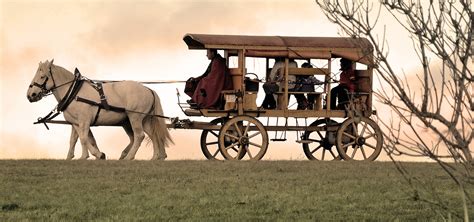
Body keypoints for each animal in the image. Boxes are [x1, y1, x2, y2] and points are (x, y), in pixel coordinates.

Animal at [25, 59, 171, 160]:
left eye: (42, 76)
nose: (30, 95)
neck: (74, 93)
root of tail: (148, 89)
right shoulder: (75, 123)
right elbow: (75, 140)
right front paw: (73, 157)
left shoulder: (84, 121)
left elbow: (84, 138)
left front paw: (91, 155)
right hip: (144, 119)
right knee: (153, 135)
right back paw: (154, 157)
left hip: (134, 117)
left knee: (139, 136)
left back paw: (129, 157)